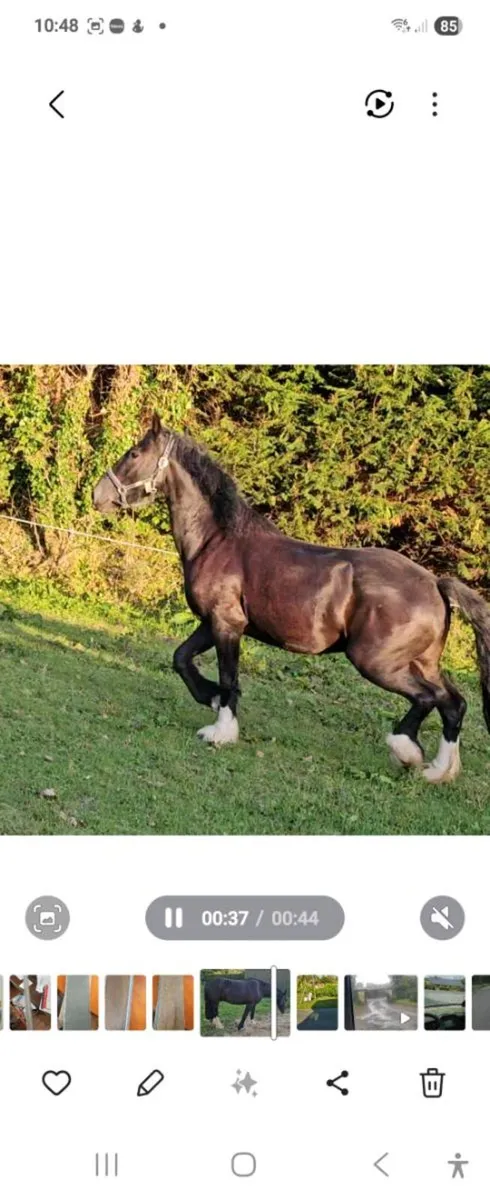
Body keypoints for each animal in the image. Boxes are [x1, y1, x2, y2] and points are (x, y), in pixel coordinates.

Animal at [93, 414, 490, 784]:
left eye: (134, 453)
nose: (98, 496)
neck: (218, 540)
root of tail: (435, 584)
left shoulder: (226, 624)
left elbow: (228, 676)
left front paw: (221, 731)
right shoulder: (211, 623)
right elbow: (181, 659)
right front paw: (210, 697)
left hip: (377, 661)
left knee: (428, 699)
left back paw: (406, 752)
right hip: (421, 662)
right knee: (454, 704)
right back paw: (439, 771)